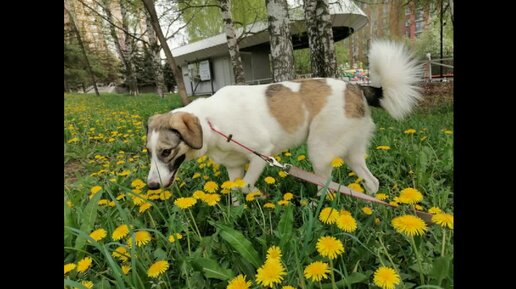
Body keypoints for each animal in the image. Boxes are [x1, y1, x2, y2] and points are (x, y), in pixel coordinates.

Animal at [145, 40, 424, 194]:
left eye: (166, 151)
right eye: (149, 152)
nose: (151, 187)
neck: (210, 123)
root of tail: (357, 87)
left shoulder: (261, 154)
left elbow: (246, 186)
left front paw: (256, 195)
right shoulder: (234, 168)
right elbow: (236, 193)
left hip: (319, 151)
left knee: (326, 186)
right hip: (351, 153)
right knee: (372, 182)